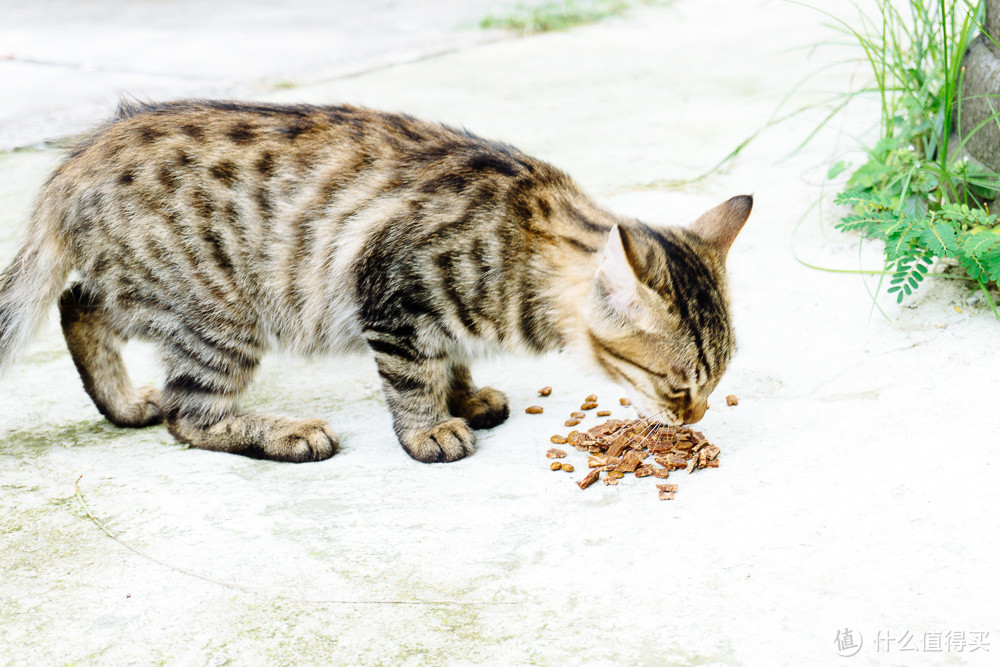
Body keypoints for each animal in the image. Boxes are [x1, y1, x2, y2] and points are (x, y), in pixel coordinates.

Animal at [0, 100, 752, 464]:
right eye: (678, 387)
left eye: (714, 384)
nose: (695, 420)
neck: (529, 240)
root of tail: (76, 158)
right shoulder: (394, 297)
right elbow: (415, 377)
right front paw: (431, 430)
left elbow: (449, 360)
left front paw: (465, 397)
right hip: (220, 311)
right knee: (189, 413)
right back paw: (286, 435)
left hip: (152, 294)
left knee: (77, 303)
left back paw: (125, 403)